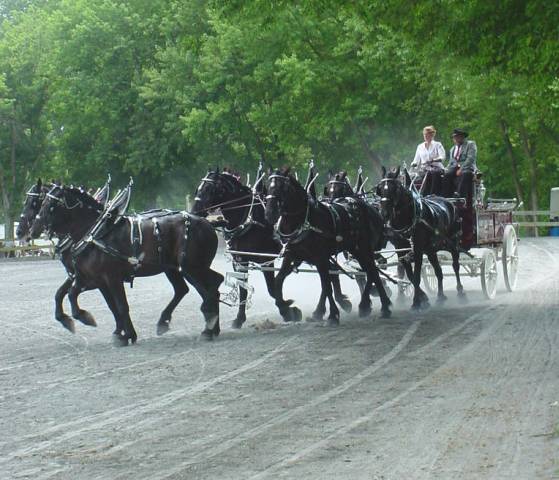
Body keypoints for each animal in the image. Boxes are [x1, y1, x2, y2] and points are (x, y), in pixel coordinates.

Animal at [30, 185, 223, 344]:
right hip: (179, 269)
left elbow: (121, 306)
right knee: (198, 288)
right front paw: (117, 331)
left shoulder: (110, 277)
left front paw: (126, 334)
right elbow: (77, 296)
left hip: (191, 267)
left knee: (212, 285)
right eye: (40, 203)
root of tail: (207, 223)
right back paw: (205, 327)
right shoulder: (93, 279)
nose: (32, 230)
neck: (97, 233)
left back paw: (208, 324)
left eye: (48, 205)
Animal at [265, 167, 391, 325]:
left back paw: (382, 306)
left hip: (363, 248)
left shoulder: (320, 258)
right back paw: (368, 305)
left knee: (372, 271)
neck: (305, 221)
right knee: (370, 271)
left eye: (283, 187)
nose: (270, 213)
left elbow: (326, 285)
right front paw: (287, 308)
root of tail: (370, 208)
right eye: (268, 186)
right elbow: (278, 281)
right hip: (355, 250)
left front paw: (332, 315)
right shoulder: (293, 256)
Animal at [376, 166, 465, 309]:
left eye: (395, 188)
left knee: (455, 265)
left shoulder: (417, 249)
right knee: (438, 271)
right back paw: (440, 296)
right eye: (379, 189)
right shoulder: (401, 250)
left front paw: (416, 302)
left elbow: (416, 276)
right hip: (431, 249)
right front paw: (423, 299)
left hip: (453, 243)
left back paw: (460, 291)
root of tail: (450, 203)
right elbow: (410, 276)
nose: (384, 213)